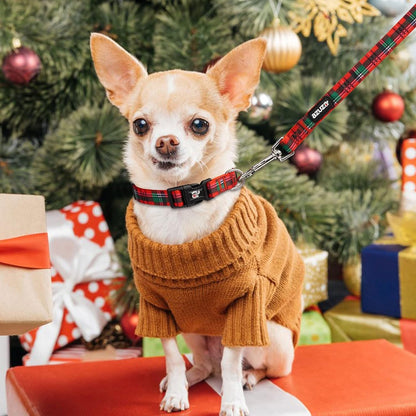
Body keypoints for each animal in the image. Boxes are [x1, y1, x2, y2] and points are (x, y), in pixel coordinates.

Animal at [91, 33, 304, 416]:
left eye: (199, 125)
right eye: (140, 125)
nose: (166, 142)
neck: (180, 200)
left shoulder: (244, 309)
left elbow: (232, 362)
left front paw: (232, 401)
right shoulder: (157, 308)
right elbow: (173, 357)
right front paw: (177, 391)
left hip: (272, 334)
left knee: (259, 368)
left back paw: (250, 378)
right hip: (192, 327)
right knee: (205, 363)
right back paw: (190, 379)